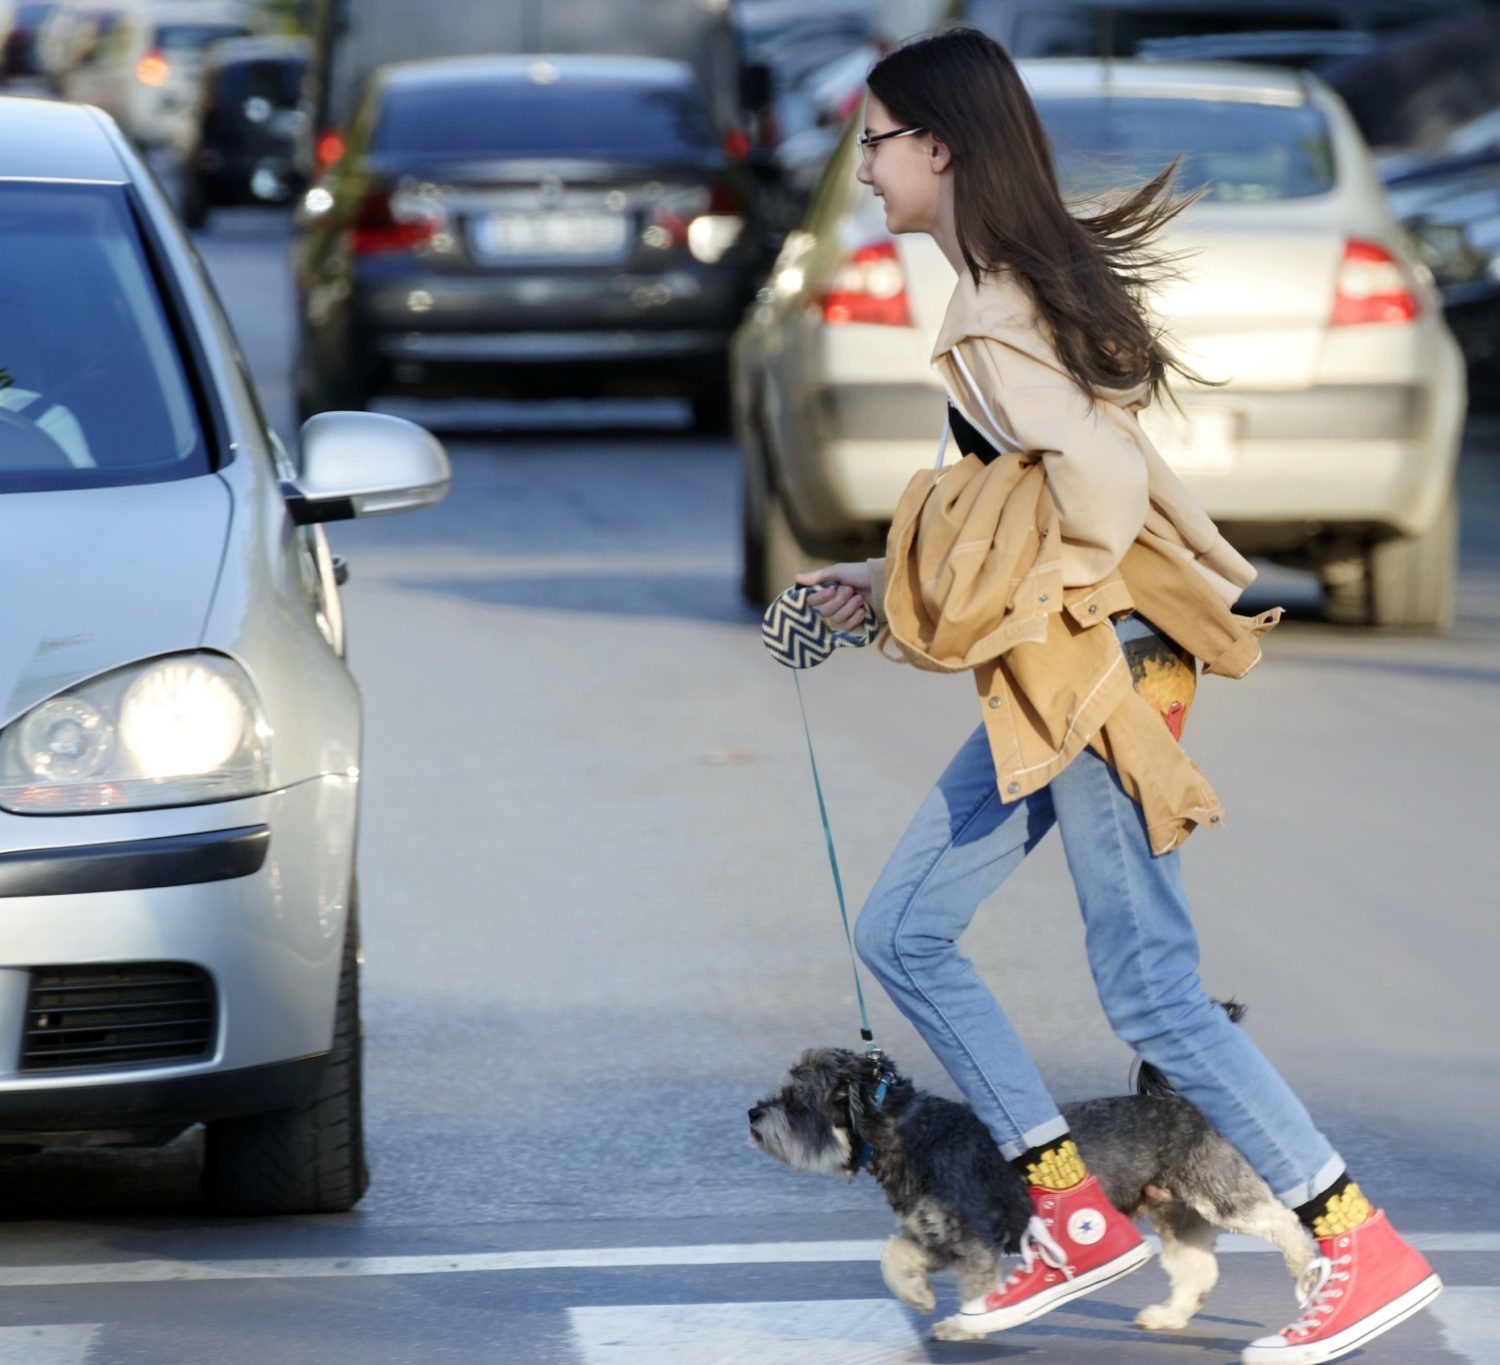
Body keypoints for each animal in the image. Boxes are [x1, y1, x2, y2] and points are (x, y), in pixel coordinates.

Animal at [750, 1026, 1314, 1338]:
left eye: (795, 1101)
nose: (753, 1114)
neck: (907, 1130)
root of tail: (1189, 1105)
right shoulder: (935, 1232)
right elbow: (893, 1257)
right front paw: (919, 1298)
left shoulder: (975, 1237)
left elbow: (975, 1289)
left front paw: (964, 1324)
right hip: (1177, 1213)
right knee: (1197, 1270)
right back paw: (1168, 1318)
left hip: (1217, 1192)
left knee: (1282, 1221)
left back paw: (1307, 1272)